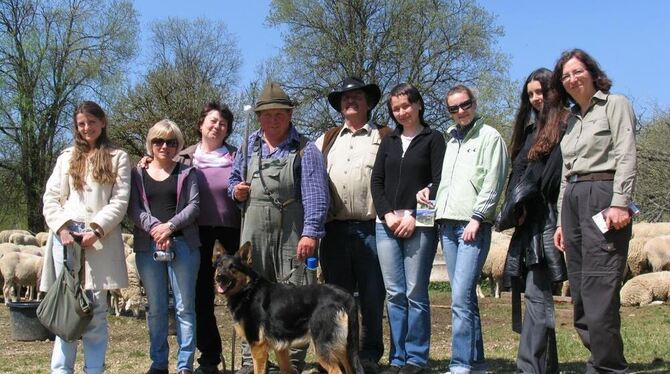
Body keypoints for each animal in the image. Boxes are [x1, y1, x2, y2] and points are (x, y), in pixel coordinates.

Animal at [215, 241, 364, 374]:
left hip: (323, 348)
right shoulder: (280, 349)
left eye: (233, 267)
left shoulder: (258, 348)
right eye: (219, 266)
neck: (248, 289)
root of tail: (345, 295)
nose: (219, 277)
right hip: (344, 349)